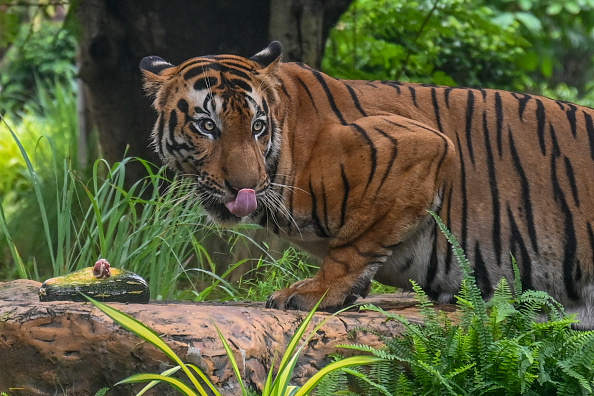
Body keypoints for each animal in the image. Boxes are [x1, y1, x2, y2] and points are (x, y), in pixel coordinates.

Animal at [140, 41, 592, 328]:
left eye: (257, 127)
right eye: (207, 126)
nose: (244, 189)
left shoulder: (420, 146)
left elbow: (354, 243)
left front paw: (318, 291)